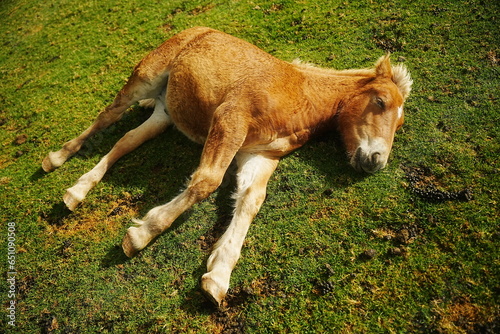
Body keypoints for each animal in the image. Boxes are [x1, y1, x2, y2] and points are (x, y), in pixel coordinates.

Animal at [43, 27, 412, 306]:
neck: (298, 97)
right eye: (381, 102)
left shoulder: (259, 155)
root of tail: (196, 29)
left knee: (125, 142)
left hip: (166, 112)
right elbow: (207, 180)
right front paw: (141, 234)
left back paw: (77, 191)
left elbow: (250, 200)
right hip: (145, 78)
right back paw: (56, 160)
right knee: (108, 116)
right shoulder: (230, 119)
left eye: (400, 122)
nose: (375, 162)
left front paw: (218, 277)